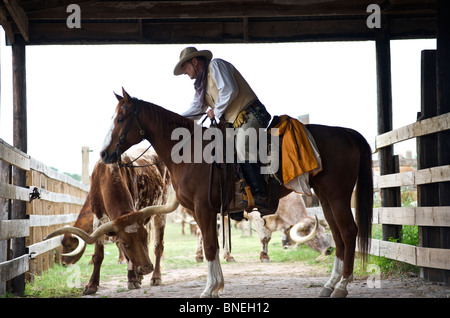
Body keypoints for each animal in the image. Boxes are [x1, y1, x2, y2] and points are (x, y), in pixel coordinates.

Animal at [46, 149, 178, 296]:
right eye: (125, 243)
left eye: (69, 245)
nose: (146, 268)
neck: (108, 173)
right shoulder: (98, 219)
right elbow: (99, 255)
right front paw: (91, 285)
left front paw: (132, 279)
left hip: (162, 208)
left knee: (158, 245)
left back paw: (156, 277)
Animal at [102, 88, 372, 296]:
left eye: (121, 118)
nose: (105, 153)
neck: (190, 150)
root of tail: (346, 133)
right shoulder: (201, 211)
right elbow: (210, 244)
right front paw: (217, 286)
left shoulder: (204, 208)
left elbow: (211, 246)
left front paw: (209, 289)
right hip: (326, 198)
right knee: (338, 235)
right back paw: (330, 284)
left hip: (337, 195)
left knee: (349, 232)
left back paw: (342, 286)